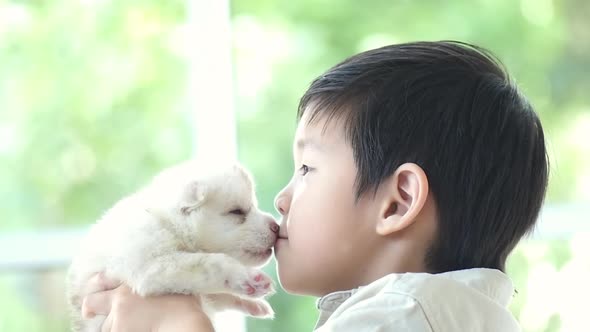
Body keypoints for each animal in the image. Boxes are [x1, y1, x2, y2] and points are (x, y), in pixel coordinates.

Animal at [67, 160, 280, 330]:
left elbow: (218, 294)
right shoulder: (151, 266)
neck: (169, 223)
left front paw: (254, 303)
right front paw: (248, 278)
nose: (276, 227)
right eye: (236, 211)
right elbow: (212, 264)